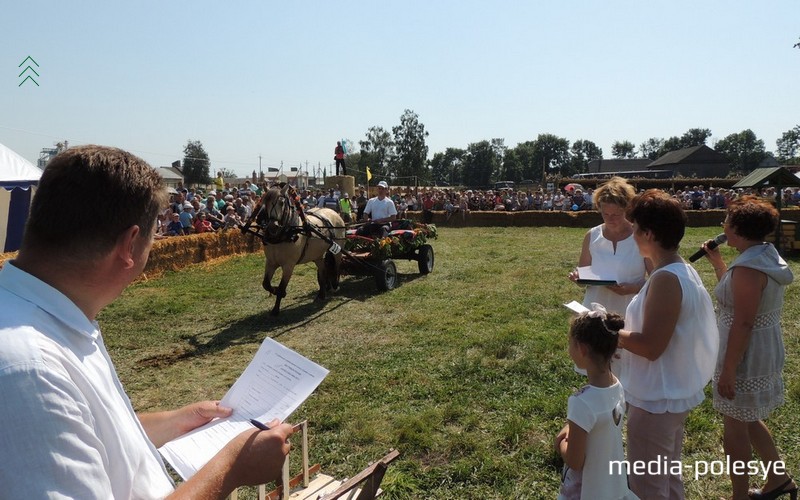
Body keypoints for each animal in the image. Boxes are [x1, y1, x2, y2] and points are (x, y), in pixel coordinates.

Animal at [248, 184, 346, 316]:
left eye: (282, 202)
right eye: (265, 202)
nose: (273, 226)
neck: (283, 236)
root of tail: (333, 212)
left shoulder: (289, 266)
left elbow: (281, 287)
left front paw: (276, 309)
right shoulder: (270, 262)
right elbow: (266, 284)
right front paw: (274, 290)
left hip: (338, 249)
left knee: (337, 266)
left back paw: (335, 284)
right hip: (318, 255)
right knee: (323, 270)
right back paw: (322, 293)